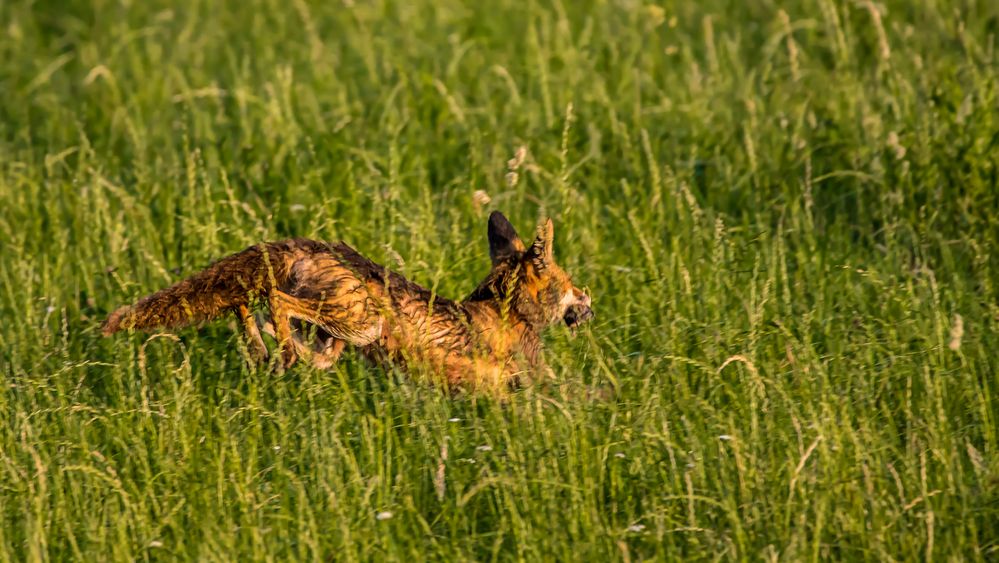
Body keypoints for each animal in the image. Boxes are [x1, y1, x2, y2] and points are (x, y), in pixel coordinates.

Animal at [103, 214, 592, 394]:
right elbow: (581, 397)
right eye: (570, 283)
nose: (589, 303)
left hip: (339, 339)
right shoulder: (530, 379)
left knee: (252, 308)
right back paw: (278, 354)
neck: (504, 309)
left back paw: (265, 351)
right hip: (361, 323)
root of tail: (311, 244)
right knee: (274, 303)